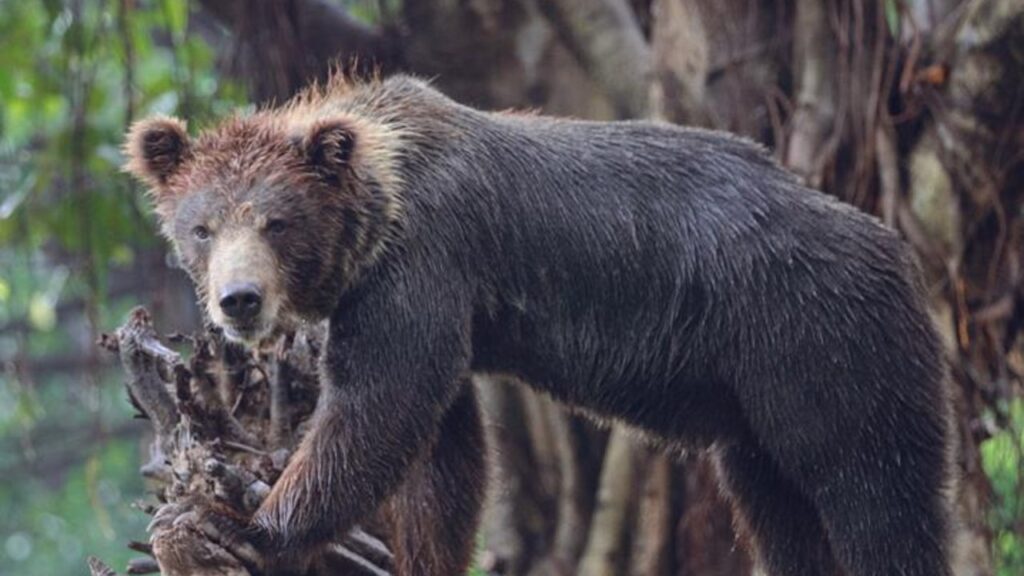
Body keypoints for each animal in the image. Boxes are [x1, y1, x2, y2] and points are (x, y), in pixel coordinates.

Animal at [124, 74, 954, 576]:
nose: (239, 300)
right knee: (780, 507)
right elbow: (443, 457)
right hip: (754, 409)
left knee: (873, 491)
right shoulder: (432, 311)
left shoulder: (420, 272)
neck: (377, 210)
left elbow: (376, 413)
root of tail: (899, 251)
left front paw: (251, 524)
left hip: (820, 343)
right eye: (202, 227)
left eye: (277, 222)